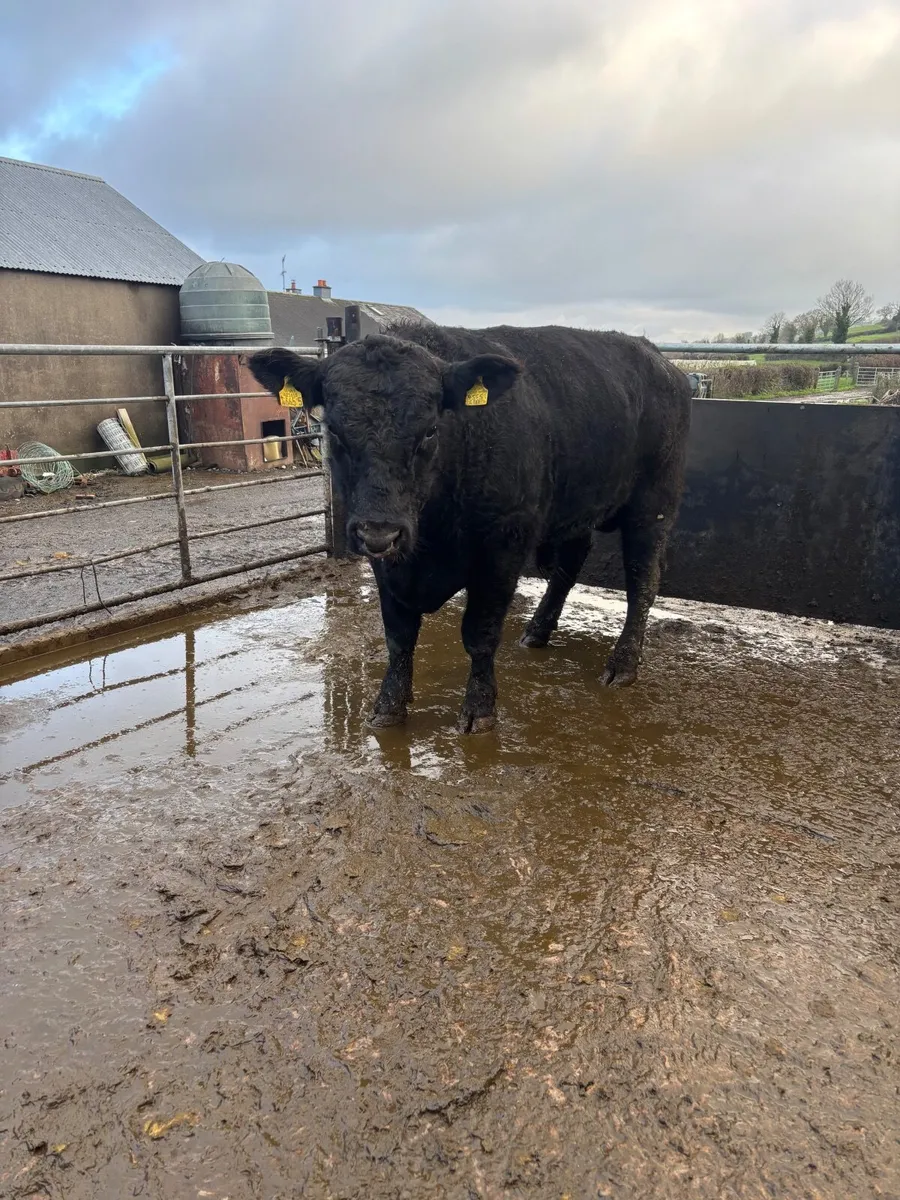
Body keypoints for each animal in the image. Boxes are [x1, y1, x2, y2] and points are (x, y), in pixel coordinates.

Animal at [249, 324, 691, 734]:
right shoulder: (388, 562)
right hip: (576, 506)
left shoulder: (502, 549)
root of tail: (657, 356)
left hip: (653, 505)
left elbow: (480, 634)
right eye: (335, 432)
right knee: (570, 565)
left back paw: (623, 663)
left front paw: (479, 710)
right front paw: (389, 705)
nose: (380, 531)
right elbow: (398, 635)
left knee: (642, 581)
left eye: (430, 430)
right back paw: (538, 631)